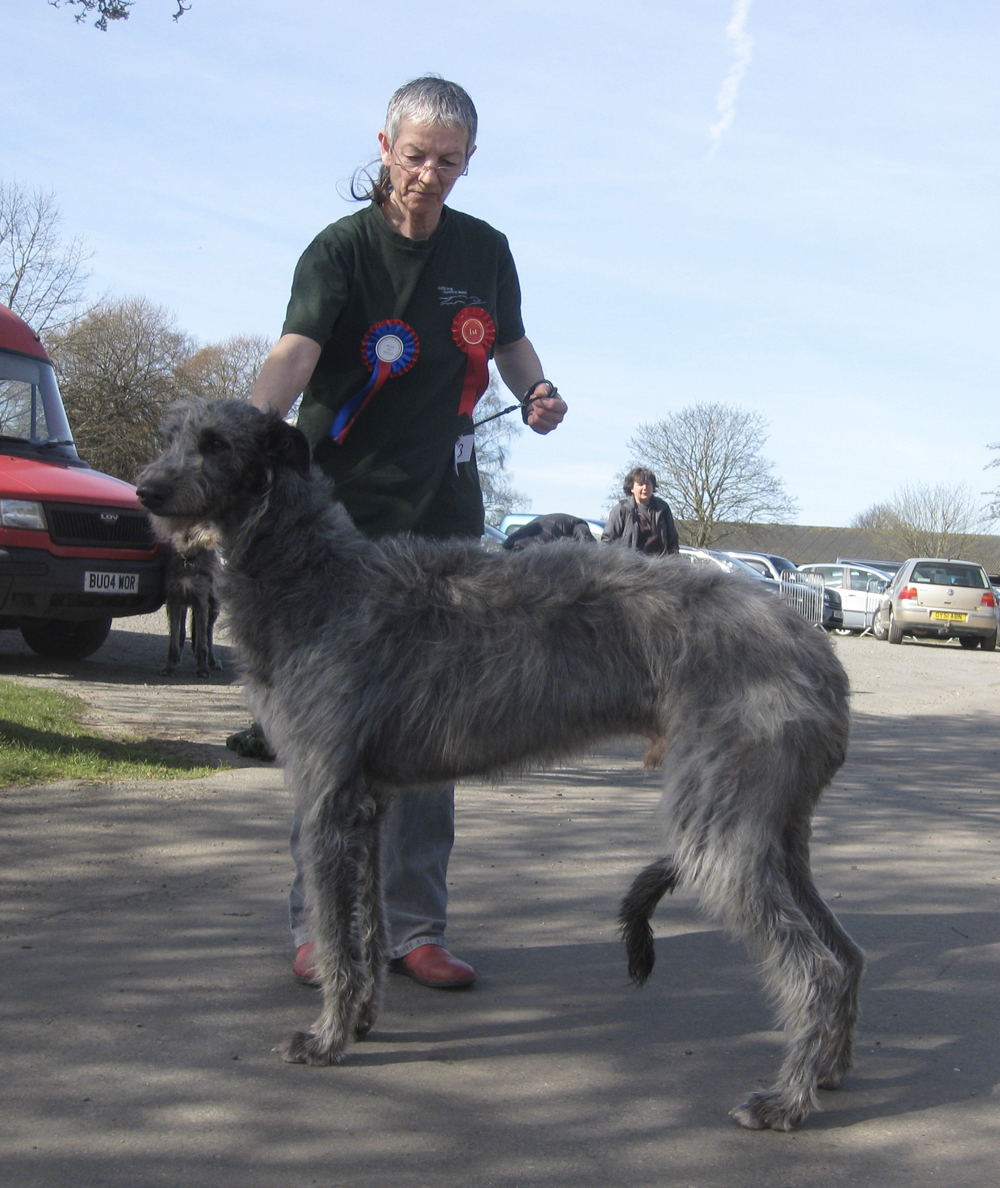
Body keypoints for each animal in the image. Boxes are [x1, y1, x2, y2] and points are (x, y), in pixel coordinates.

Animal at [136, 399, 859, 1130]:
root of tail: (817, 651)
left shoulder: (326, 801)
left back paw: (786, 1100)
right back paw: (829, 1070)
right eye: (170, 436)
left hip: (718, 828)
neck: (313, 575)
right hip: (773, 825)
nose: (145, 492)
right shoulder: (367, 804)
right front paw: (361, 1019)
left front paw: (326, 1039)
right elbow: (368, 926)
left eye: (216, 443)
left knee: (815, 968)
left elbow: (339, 937)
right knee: (846, 952)